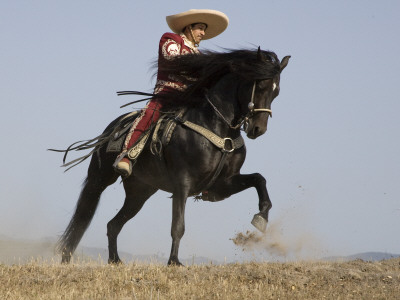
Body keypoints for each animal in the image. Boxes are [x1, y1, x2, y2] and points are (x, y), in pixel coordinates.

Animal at [56, 47, 290, 264]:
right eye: (261, 85)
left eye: (276, 92)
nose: (258, 129)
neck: (218, 128)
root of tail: (111, 128)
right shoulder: (182, 183)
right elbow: (178, 225)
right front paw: (174, 261)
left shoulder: (223, 184)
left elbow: (259, 179)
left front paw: (261, 217)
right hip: (100, 178)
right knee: (84, 215)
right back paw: (68, 257)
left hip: (139, 192)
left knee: (113, 225)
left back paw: (115, 260)